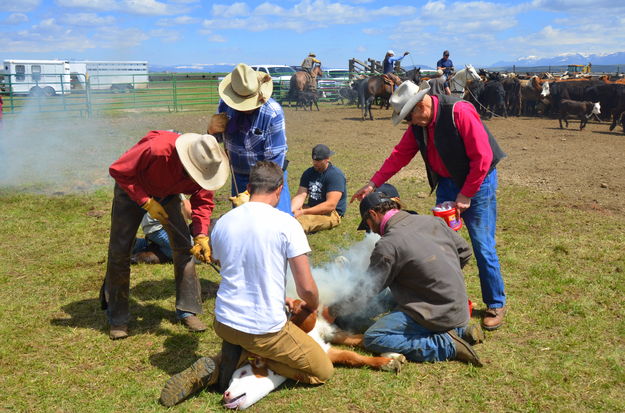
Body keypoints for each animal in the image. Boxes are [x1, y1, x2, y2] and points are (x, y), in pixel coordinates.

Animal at [223, 300, 404, 408]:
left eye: (243, 373)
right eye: (230, 380)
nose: (225, 395)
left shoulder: (329, 331)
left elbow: (359, 340)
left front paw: (391, 358)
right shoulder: (326, 352)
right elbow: (352, 354)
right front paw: (390, 360)